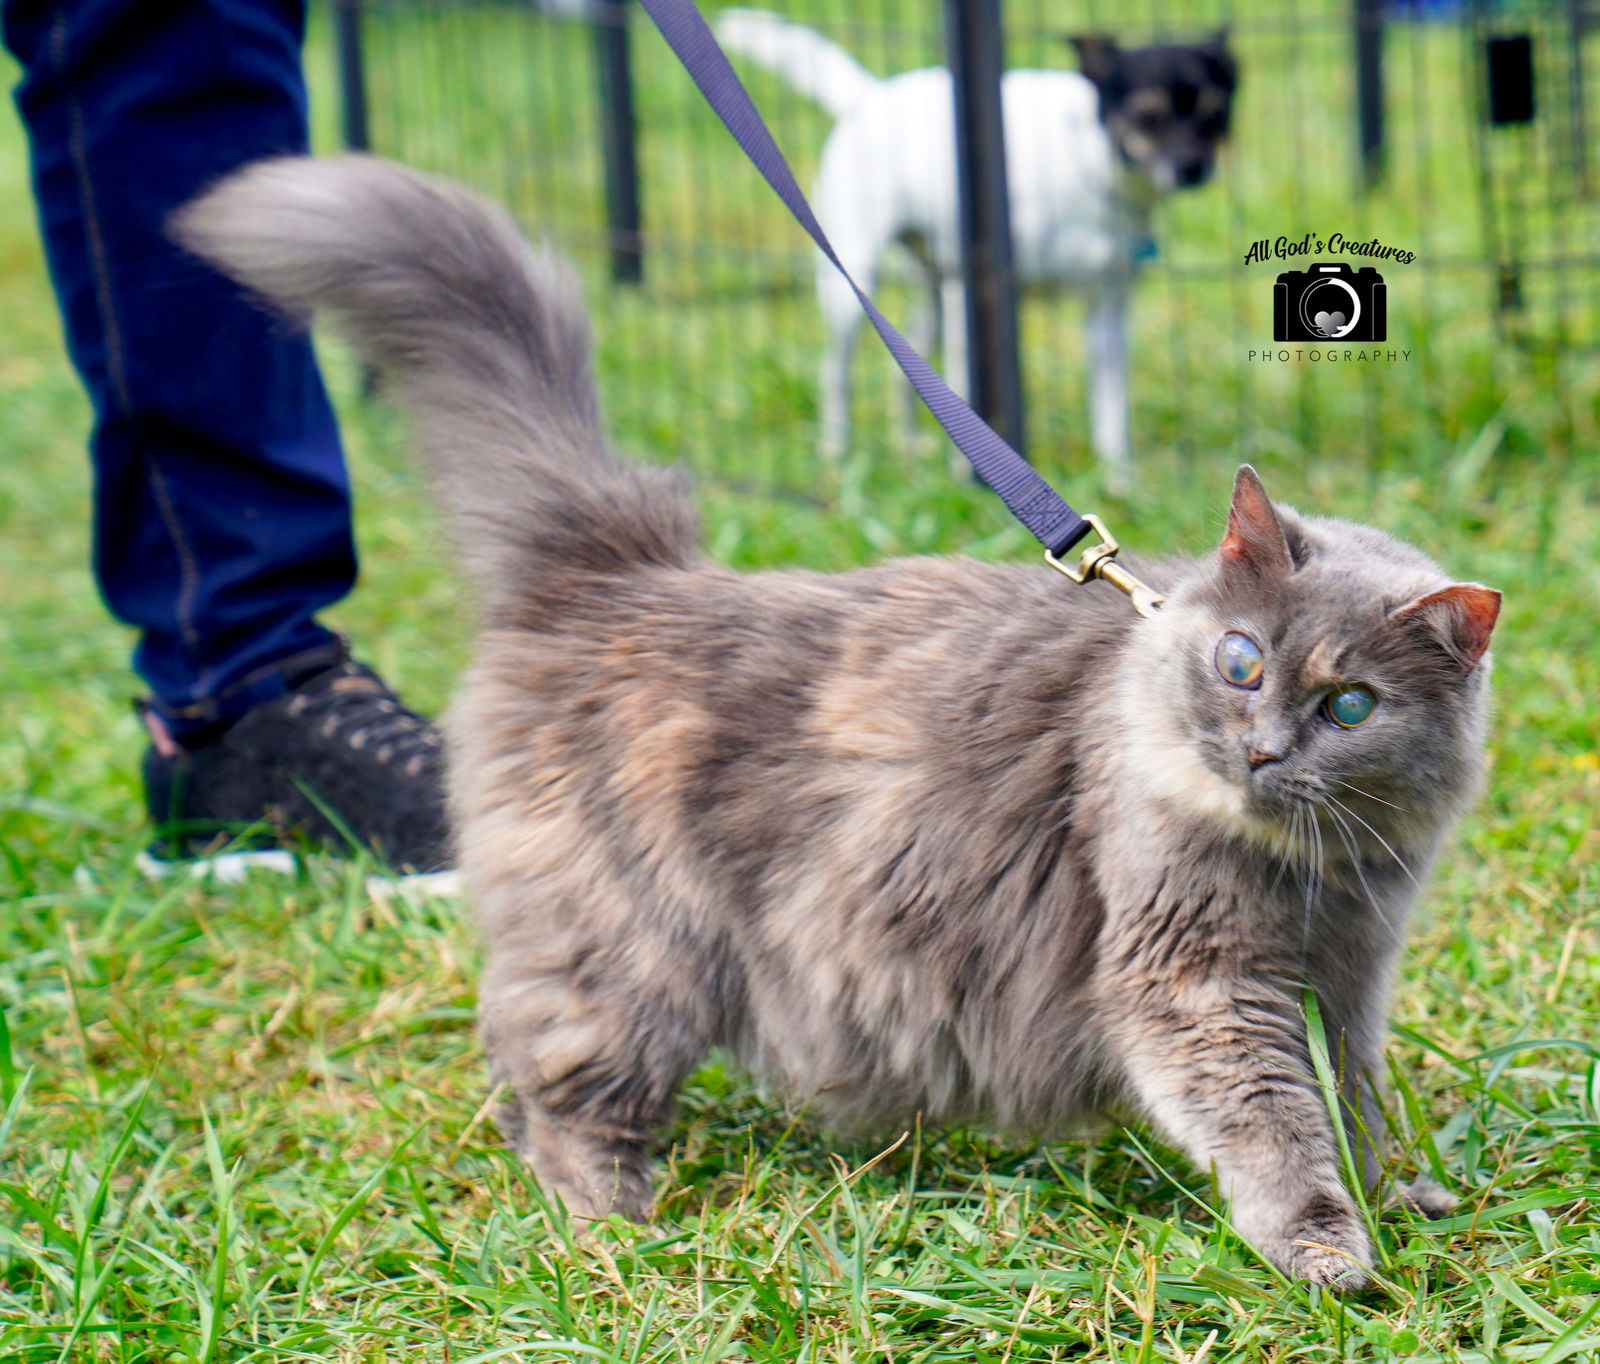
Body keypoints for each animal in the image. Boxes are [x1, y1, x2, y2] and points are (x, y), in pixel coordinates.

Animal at [175, 154, 1497, 1287]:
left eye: (1349, 704)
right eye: (1239, 661)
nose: (1262, 746)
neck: (1315, 871)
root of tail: (615, 567)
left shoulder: (1351, 973)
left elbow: (1358, 1097)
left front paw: (1402, 1190)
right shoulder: (1197, 979)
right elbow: (1275, 1121)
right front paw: (1328, 1247)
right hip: (628, 942)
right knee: (551, 1074)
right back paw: (611, 1212)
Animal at [713, 9, 1235, 480]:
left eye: (1217, 115)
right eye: (1147, 117)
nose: (1193, 168)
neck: (1095, 167)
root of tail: (871, 96)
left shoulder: (1107, 311)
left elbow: (1111, 412)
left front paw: (1119, 482)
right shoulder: (974, 292)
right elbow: (969, 395)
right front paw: (973, 478)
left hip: (930, 291)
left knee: (908, 364)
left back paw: (907, 446)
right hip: (855, 283)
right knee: (835, 372)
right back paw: (836, 453)